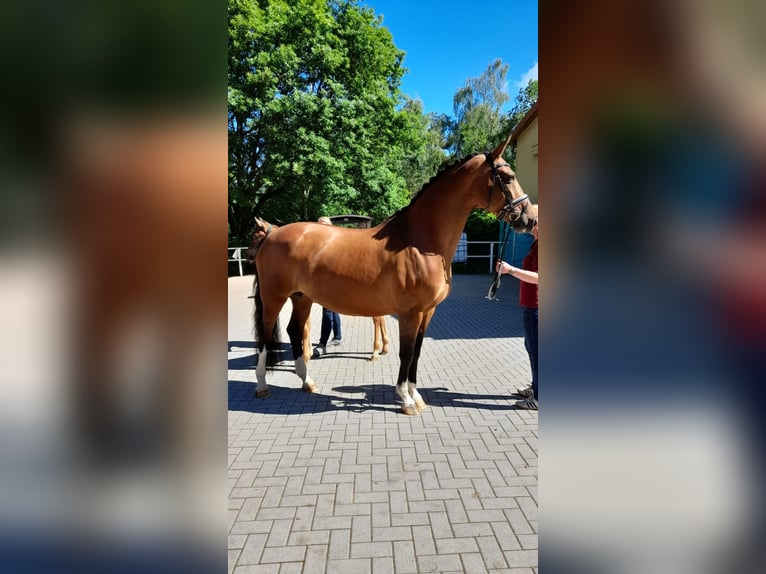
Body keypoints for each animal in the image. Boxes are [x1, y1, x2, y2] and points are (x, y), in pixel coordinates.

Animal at [252, 136, 536, 414]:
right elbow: (406, 353)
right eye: (508, 177)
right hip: (274, 297)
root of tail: (272, 235)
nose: (530, 218)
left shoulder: (427, 311)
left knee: (293, 330)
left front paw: (416, 396)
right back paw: (262, 386)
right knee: (265, 335)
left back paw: (307, 381)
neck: (419, 241)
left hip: (302, 297)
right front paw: (406, 400)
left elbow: (417, 353)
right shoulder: (410, 313)